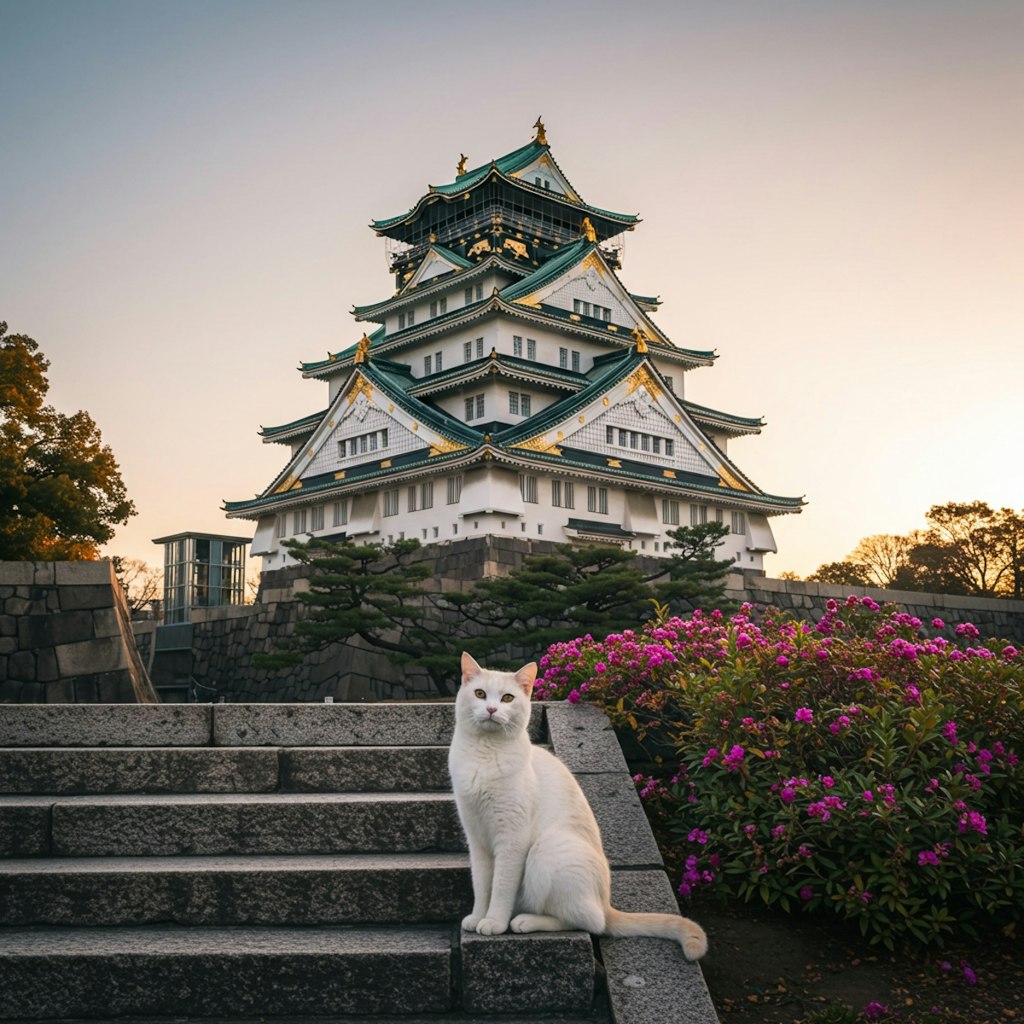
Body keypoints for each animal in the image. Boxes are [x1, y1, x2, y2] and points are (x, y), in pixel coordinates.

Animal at [452, 651, 708, 962]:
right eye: (479, 694)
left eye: (507, 698)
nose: (490, 709)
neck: (484, 756)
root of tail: (607, 903)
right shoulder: (476, 840)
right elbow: (481, 885)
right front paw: (478, 917)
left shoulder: (511, 839)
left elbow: (500, 887)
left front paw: (494, 922)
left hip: (547, 851)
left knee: (589, 922)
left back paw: (524, 921)